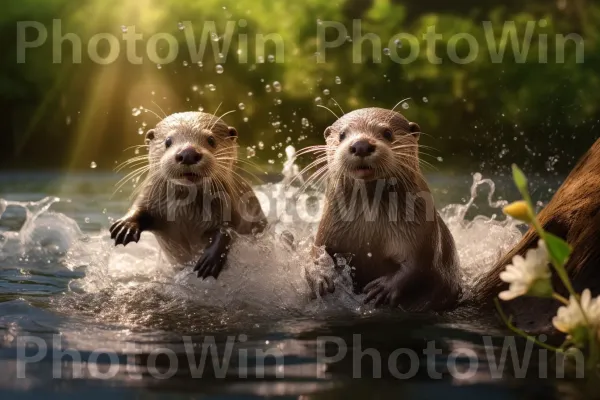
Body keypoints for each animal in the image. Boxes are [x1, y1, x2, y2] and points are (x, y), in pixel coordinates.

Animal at [108, 109, 268, 278]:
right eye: (168, 141)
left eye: (211, 139)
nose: (188, 153)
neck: (187, 213)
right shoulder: (150, 196)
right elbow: (140, 209)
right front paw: (125, 226)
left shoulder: (233, 207)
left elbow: (228, 231)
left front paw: (210, 260)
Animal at [308, 108, 462, 310]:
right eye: (342, 135)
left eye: (388, 133)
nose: (361, 145)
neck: (370, 232)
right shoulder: (327, 230)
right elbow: (315, 252)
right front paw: (320, 276)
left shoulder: (425, 236)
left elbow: (420, 266)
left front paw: (384, 288)